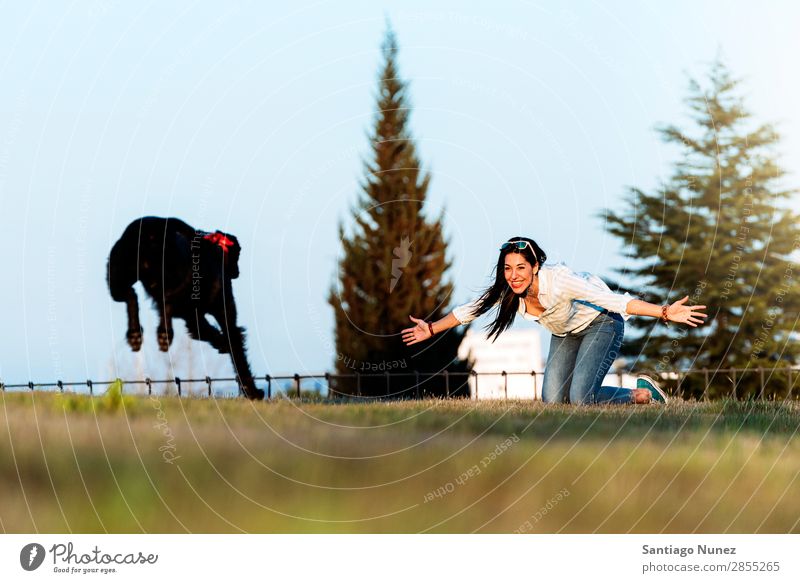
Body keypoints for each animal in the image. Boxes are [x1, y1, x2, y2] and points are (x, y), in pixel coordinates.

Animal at [108, 216, 264, 402]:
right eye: (238, 255)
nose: (237, 272)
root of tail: (149, 229)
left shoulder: (193, 318)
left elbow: (206, 332)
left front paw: (221, 344)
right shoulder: (222, 309)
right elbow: (235, 346)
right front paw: (252, 391)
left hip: (117, 278)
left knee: (132, 296)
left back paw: (136, 335)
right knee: (164, 301)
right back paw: (164, 334)